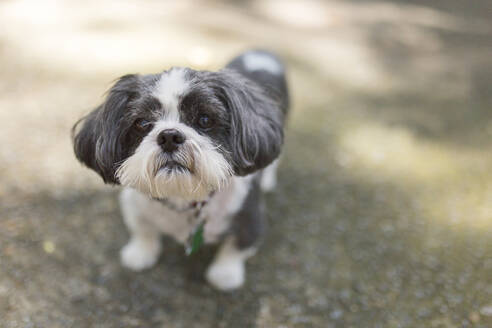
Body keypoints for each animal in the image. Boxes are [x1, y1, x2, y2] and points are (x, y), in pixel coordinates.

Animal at [71, 50, 290, 290]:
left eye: (204, 119)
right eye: (142, 123)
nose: (169, 136)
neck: (182, 196)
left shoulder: (249, 215)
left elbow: (237, 246)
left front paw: (225, 273)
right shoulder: (133, 203)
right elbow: (142, 229)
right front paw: (140, 252)